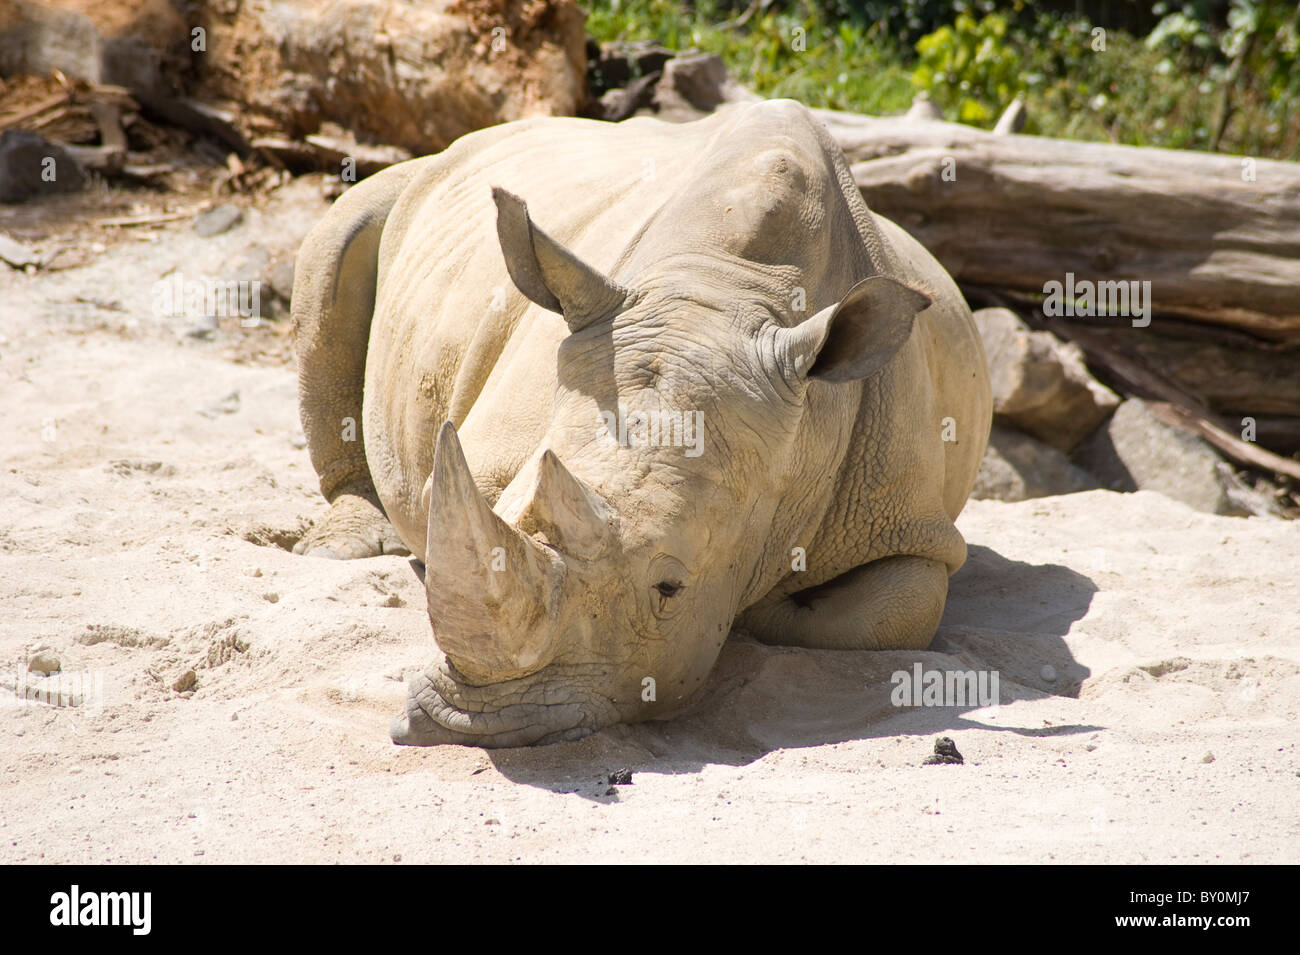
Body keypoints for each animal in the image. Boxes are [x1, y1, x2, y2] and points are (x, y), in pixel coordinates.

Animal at [289, 100, 987, 748]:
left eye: (670, 588)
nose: (461, 722)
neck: (724, 288)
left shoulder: (907, 525)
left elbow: (896, 612)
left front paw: (768, 604)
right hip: (410, 188)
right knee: (337, 242)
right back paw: (340, 548)